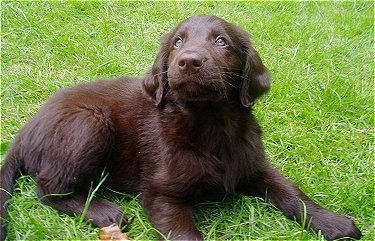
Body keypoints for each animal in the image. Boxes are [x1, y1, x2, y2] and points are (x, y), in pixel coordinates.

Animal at [0, 15, 364, 241]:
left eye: (221, 42)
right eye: (177, 42)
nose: (188, 60)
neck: (209, 124)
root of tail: (27, 128)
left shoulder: (255, 166)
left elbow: (291, 193)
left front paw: (332, 222)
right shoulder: (160, 194)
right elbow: (185, 234)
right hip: (88, 124)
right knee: (47, 188)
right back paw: (104, 212)